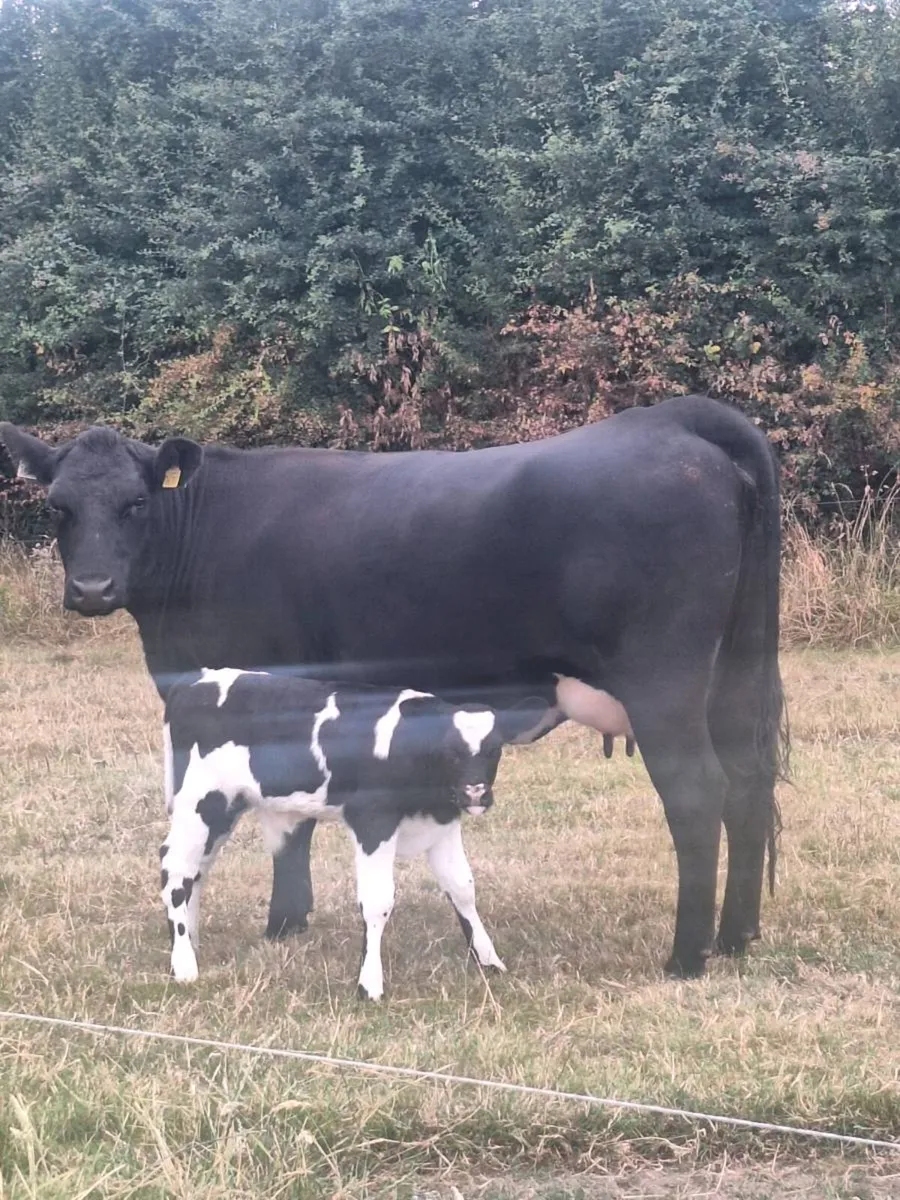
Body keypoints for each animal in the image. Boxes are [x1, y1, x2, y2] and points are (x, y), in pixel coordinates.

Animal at [160, 668, 540, 996]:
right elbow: (378, 901)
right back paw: (184, 966)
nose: (475, 793)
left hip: (223, 810)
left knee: (196, 871)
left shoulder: (442, 823)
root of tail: (194, 680)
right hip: (201, 802)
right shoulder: (373, 821)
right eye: (451, 752)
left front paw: (489, 960)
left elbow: (462, 888)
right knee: (175, 870)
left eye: (495, 749)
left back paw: (191, 943)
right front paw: (369, 985)